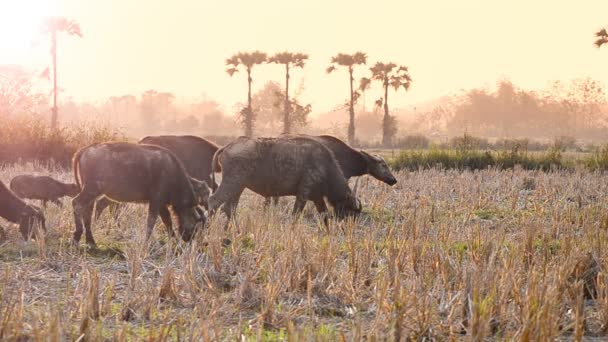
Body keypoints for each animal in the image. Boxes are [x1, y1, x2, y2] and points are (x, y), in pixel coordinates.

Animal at [71, 142, 207, 246]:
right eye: (197, 225)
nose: (189, 239)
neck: (172, 172)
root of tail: (85, 149)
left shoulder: (161, 204)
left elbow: (167, 221)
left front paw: (174, 239)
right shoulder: (155, 201)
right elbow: (151, 221)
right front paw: (146, 241)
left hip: (91, 193)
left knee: (87, 211)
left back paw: (90, 240)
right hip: (92, 189)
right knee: (77, 203)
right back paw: (76, 236)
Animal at [209, 136, 360, 224]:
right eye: (351, 210)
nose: (348, 226)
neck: (325, 166)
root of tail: (228, 145)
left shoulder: (317, 198)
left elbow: (324, 216)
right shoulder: (303, 194)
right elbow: (296, 215)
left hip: (238, 188)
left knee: (229, 208)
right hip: (232, 184)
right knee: (214, 202)